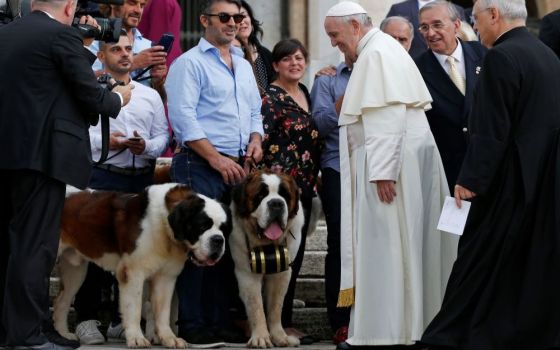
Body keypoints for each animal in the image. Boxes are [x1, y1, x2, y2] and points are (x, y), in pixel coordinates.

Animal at [50, 183, 230, 348]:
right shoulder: (133, 273)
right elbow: (134, 308)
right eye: (202, 226)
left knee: (62, 302)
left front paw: (169, 338)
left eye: (223, 229)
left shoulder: (166, 277)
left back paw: (64, 335)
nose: (218, 240)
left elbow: (163, 311)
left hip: (75, 271)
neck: (164, 224)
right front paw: (136, 338)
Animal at [230, 170, 304, 348]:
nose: (276, 203)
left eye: (284, 195)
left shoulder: (282, 273)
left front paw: (279, 336)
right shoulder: (247, 274)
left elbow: (275, 307)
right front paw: (261, 338)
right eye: (260, 195)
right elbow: (256, 307)